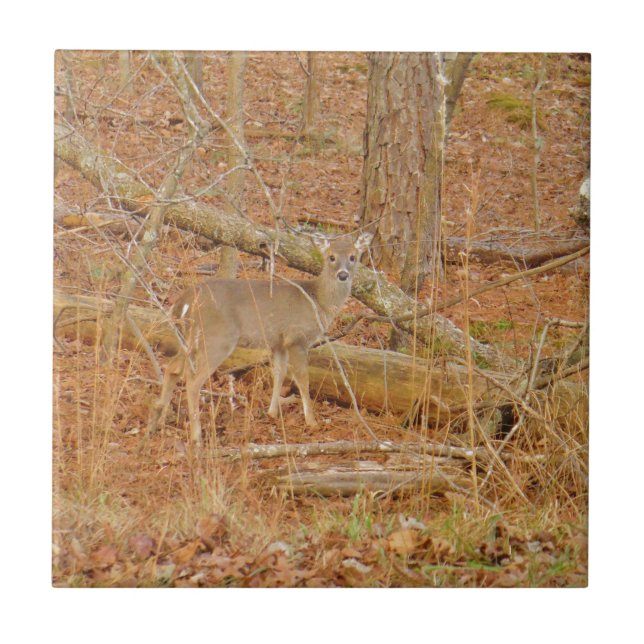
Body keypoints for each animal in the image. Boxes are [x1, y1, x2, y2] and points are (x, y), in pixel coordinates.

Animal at [148, 232, 373, 445]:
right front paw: (312, 421)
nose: (343, 275)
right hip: (218, 338)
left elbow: (279, 373)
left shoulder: (278, 343)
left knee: (172, 368)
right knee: (193, 380)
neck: (319, 302)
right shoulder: (296, 338)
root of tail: (183, 301)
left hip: (189, 339)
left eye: (353, 257)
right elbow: (302, 379)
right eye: (331, 257)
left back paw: (159, 420)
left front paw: (272, 412)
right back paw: (196, 435)